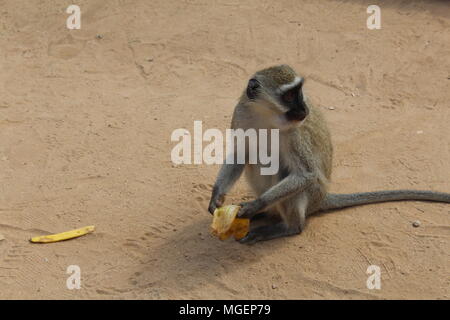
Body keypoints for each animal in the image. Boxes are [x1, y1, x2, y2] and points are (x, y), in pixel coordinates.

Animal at [208, 65, 450, 245]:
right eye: (289, 95)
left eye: (299, 91)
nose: (304, 109)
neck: (266, 115)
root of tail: (322, 198)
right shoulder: (241, 114)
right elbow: (240, 154)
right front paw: (217, 197)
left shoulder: (296, 134)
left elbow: (306, 174)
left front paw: (256, 205)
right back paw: (266, 213)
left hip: (312, 194)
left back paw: (287, 226)